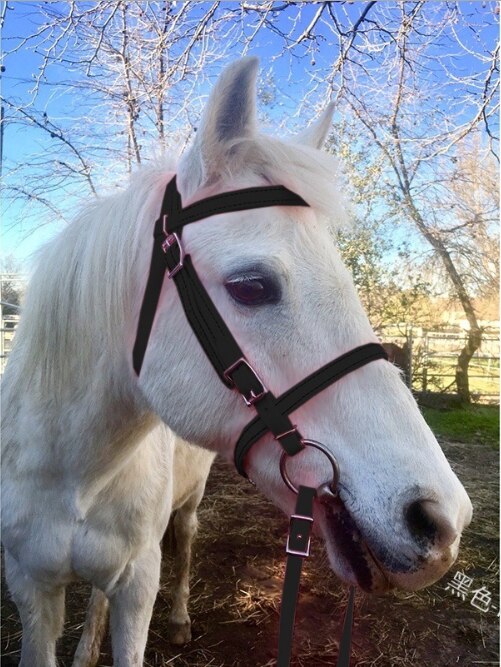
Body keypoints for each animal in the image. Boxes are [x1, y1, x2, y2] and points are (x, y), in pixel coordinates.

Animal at [1, 57, 472, 667]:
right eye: (252, 286)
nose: (442, 519)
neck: (75, 474)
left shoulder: (138, 583)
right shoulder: (30, 589)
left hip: (186, 509)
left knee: (183, 542)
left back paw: (178, 620)